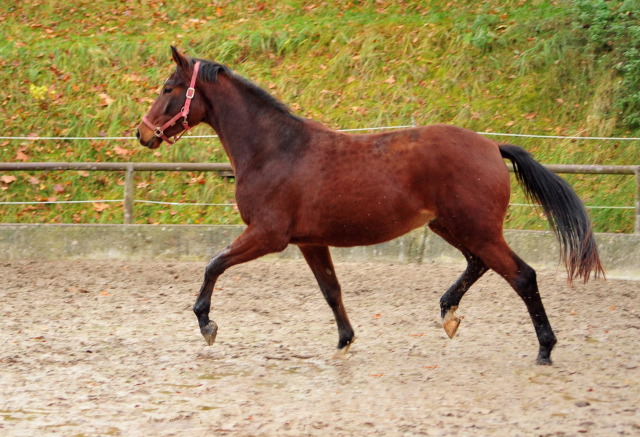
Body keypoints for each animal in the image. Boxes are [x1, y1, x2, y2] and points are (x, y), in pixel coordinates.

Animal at [136, 46, 604, 364]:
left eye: (168, 88)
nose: (142, 133)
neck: (275, 149)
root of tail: (492, 146)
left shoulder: (268, 235)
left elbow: (213, 264)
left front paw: (207, 324)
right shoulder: (310, 242)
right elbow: (331, 291)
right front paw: (345, 341)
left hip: (476, 229)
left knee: (522, 276)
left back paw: (545, 348)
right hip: (450, 227)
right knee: (479, 264)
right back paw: (449, 314)